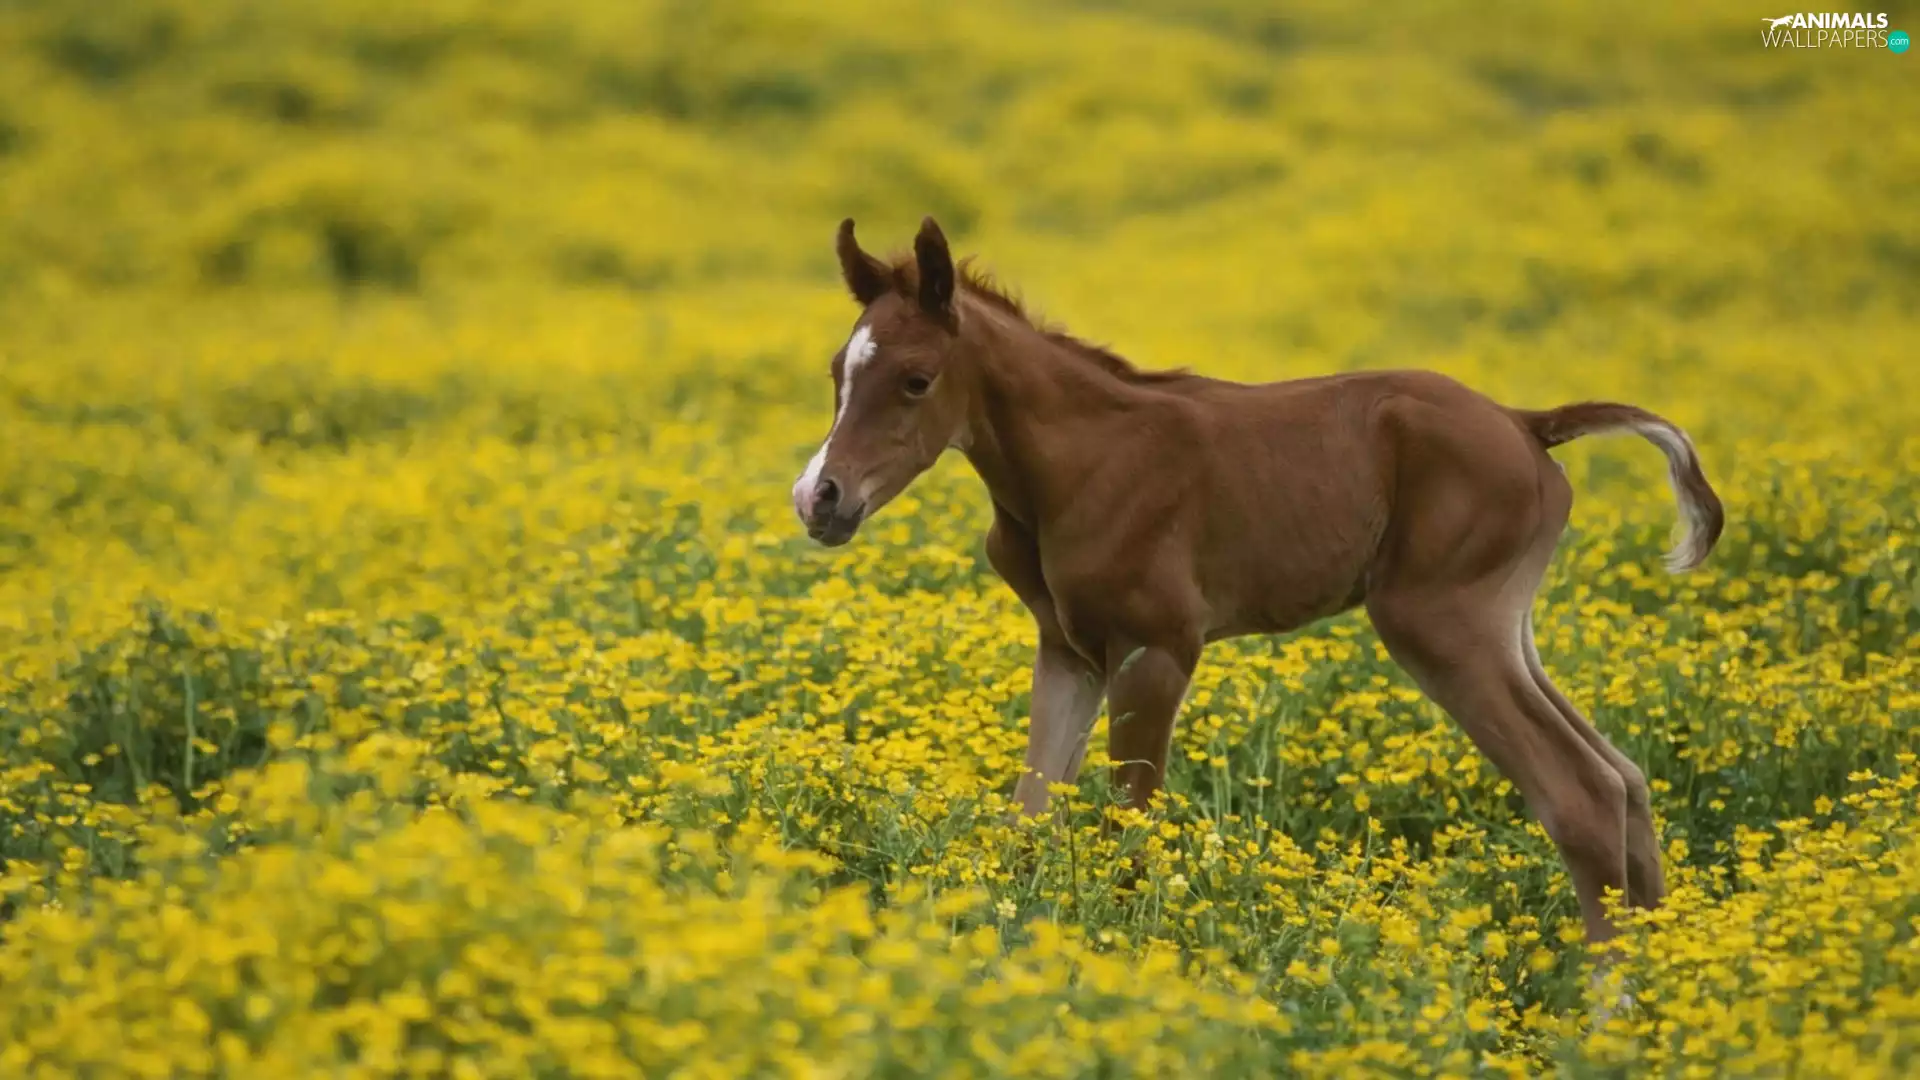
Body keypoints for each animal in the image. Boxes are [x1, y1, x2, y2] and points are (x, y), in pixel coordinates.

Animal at [791, 216, 1724, 946]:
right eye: (837, 371)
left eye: (916, 380)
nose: (819, 498)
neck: (1078, 462)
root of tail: (1528, 424)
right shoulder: (1069, 652)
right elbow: (1029, 814)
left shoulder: (1159, 650)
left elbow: (1130, 829)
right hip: (1505, 630)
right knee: (1626, 779)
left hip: (1440, 625)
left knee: (1581, 793)